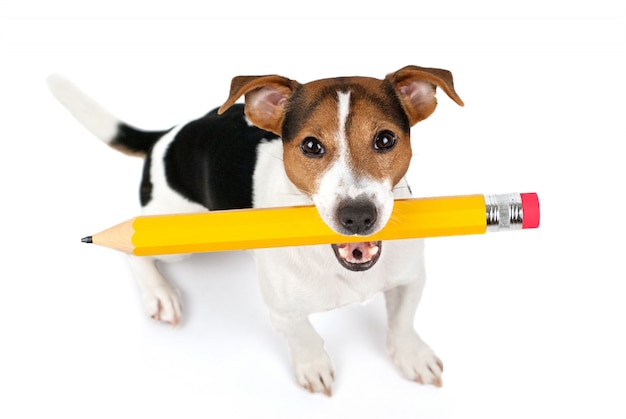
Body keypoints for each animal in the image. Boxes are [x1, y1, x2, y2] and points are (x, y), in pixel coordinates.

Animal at [46, 66, 460, 398]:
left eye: (385, 139)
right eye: (311, 145)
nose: (357, 216)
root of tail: (166, 137)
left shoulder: (411, 278)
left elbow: (402, 320)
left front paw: (412, 355)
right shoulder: (284, 311)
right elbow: (303, 336)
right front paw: (313, 365)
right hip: (176, 233)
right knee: (132, 245)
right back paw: (159, 292)